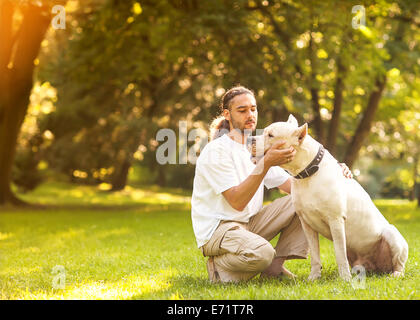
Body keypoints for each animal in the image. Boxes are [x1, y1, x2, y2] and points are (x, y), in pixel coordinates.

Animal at [248, 115, 408, 280]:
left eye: (271, 135)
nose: (249, 139)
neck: (307, 174)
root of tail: (379, 268)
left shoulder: (335, 220)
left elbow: (339, 252)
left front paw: (344, 278)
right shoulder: (306, 224)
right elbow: (315, 254)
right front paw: (314, 277)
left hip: (392, 235)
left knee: (399, 264)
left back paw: (395, 274)